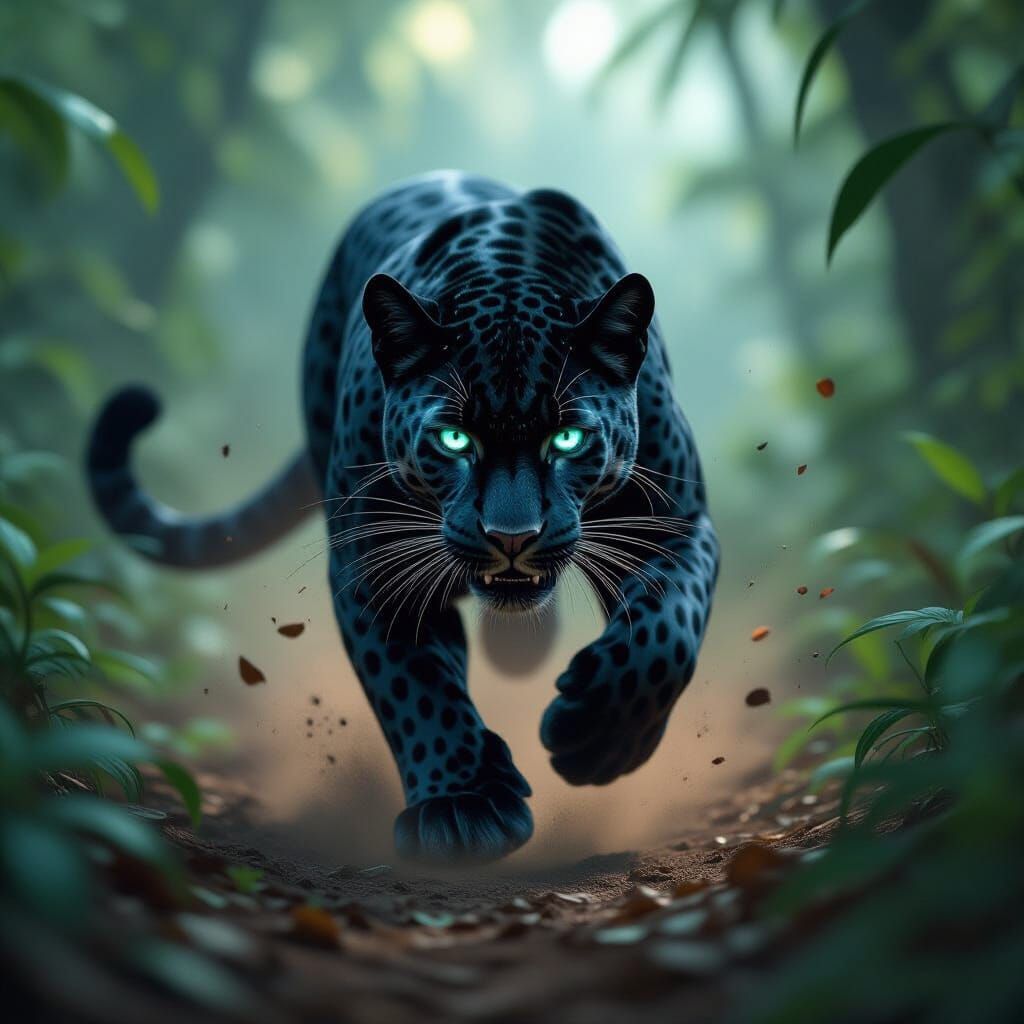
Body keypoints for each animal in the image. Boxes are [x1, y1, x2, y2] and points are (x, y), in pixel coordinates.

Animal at [87, 170, 720, 864]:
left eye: (568, 439)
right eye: (453, 439)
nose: (512, 538)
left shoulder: (677, 526)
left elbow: (663, 631)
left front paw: (600, 738)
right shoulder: (373, 565)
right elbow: (415, 689)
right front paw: (463, 808)